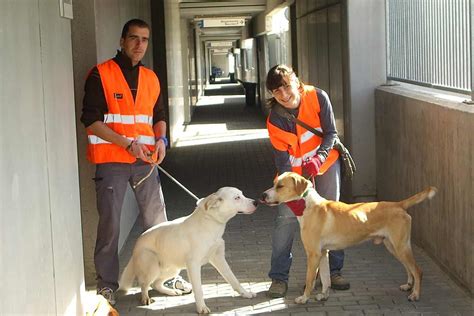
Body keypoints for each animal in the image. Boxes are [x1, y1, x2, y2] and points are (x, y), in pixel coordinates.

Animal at [120, 186, 258, 312]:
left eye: (242, 194)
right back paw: (145, 298)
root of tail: (136, 244)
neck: (210, 223)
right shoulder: (193, 265)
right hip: (152, 267)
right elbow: (199, 289)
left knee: (156, 284)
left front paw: (245, 293)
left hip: (172, 269)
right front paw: (202, 308)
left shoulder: (219, 259)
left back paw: (171, 292)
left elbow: (234, 279)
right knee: (144, 284)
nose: (256, 202)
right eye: (237, 198)